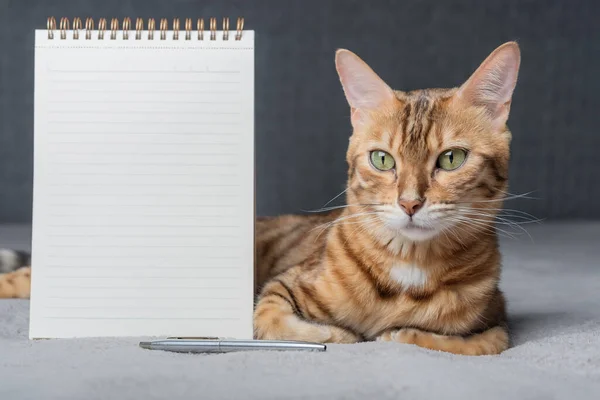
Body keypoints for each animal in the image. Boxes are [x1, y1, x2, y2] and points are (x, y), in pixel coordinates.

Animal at [2, 42, 520, 356]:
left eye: (451, 159)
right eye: (382, 159)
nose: (410, 203)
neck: (408, 268)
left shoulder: (496, 320)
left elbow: (468, 341)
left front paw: (400, 331)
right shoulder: (281, 287)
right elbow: (274, 318)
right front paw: (343, 333)